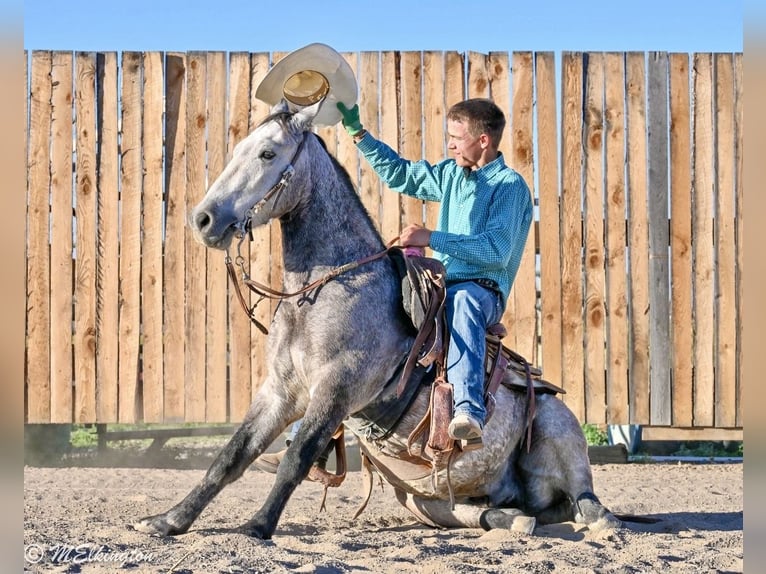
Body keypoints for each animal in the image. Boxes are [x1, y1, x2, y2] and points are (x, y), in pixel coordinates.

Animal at [134, 99, 622, 540]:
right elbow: (231, 457)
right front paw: (168, 520)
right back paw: (514, 519)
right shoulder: (280, 391)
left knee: (587, 502)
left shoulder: (338, 387)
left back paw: (596, 520)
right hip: (424, 498)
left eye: (268, 154)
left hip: (558, 428)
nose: (204, 219)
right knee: (491, 512)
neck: (324, 289)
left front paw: (257, 525)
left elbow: (296, 458)